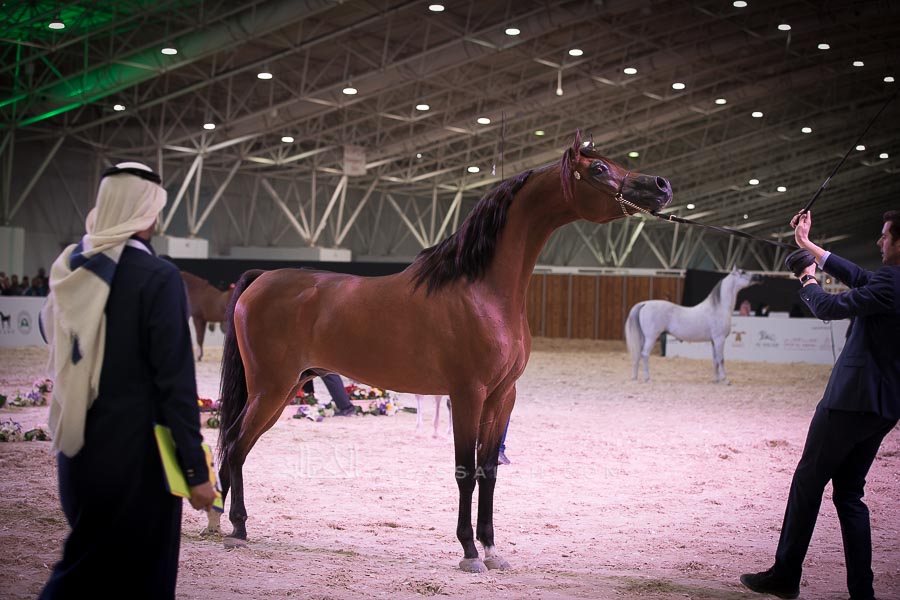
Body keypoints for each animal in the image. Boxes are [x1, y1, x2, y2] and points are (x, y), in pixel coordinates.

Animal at [210, 131, 673, 572]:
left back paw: (218, 521)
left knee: (238, 446)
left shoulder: (502, 397)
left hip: (286, 389)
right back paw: (237, 528)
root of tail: (261, 277)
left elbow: (489, 471)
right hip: (271, 388)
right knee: (234, 444)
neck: (482, 290)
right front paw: (469, 551)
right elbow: (465, 471)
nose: (661, 185)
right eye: (598, 169)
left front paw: (492, 549)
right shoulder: (467, 394)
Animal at [625, 266, 761, 384]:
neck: (719, 308)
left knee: (638, 354)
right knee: (645, 355)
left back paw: (634, 377)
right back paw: (648, 379)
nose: (759, 276)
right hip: (651, 338)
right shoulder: (720, 339)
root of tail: (644, 304)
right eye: (743, 272)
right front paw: (725, 380)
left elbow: (715, 360)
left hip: (643, 338)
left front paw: (716, 380)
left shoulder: (713, 341)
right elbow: (721, 359)